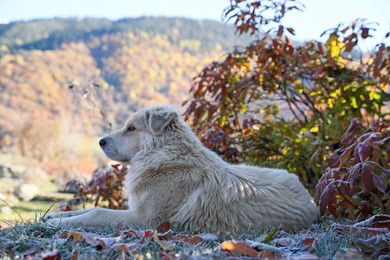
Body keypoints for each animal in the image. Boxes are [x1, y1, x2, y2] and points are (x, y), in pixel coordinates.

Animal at [45, 104, 320, 235]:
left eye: (131, 128)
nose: (100, 141)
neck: (164, 154)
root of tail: (311, 200)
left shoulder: (146, 219)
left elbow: (97, 212)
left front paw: (58, 222)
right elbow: (88, 209)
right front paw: (53, 217)